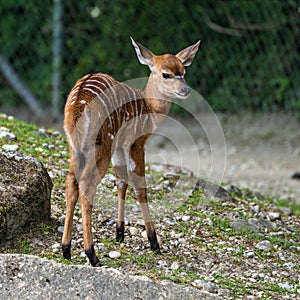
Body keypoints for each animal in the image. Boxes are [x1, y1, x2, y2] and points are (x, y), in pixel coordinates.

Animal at [61, 36, 199, 266]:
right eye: (166, 74)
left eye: (184, 72)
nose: (186, 90)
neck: (150, 108)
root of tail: (78, 106)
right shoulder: (136, 143)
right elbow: (140, 187)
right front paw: (154, 243)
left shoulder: (119, 146)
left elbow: (121, 181)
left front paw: (119, 234)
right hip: (101, 145)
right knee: (86, 185)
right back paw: (92, 255)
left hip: (76, 147)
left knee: (71, 181)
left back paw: (66, 250)